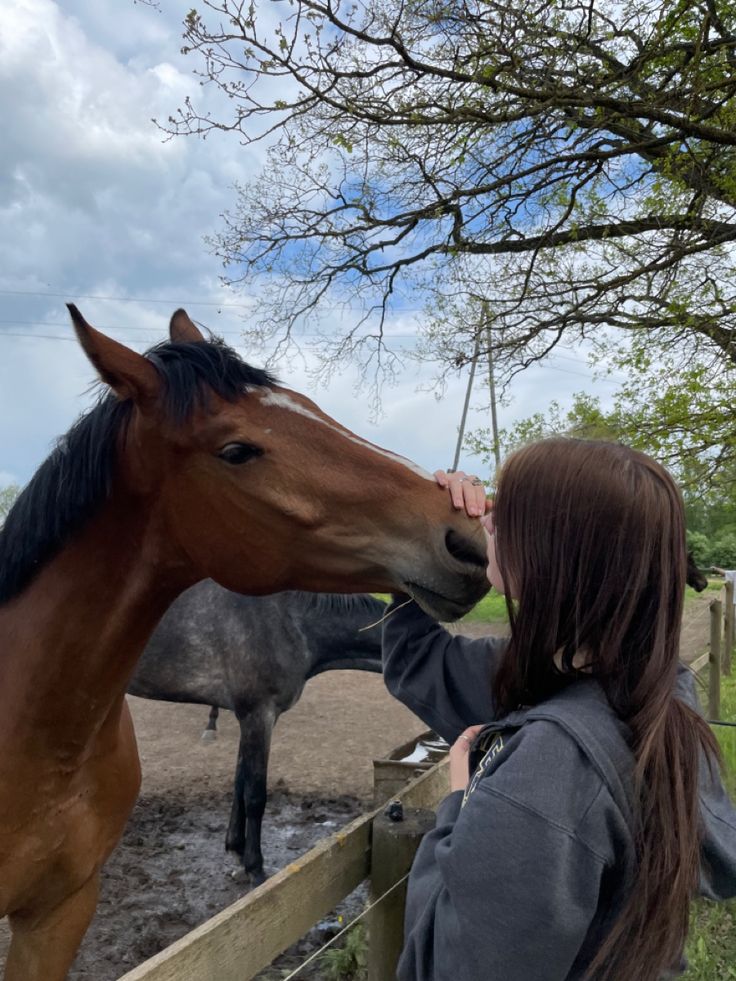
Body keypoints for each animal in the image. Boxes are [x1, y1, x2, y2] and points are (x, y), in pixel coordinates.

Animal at [129, 580, 388, 884]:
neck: (288, 622)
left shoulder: (251, 718)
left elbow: (240, 782)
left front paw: (237, 850)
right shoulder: (258, 715)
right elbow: (255, 794)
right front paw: (255, 867)